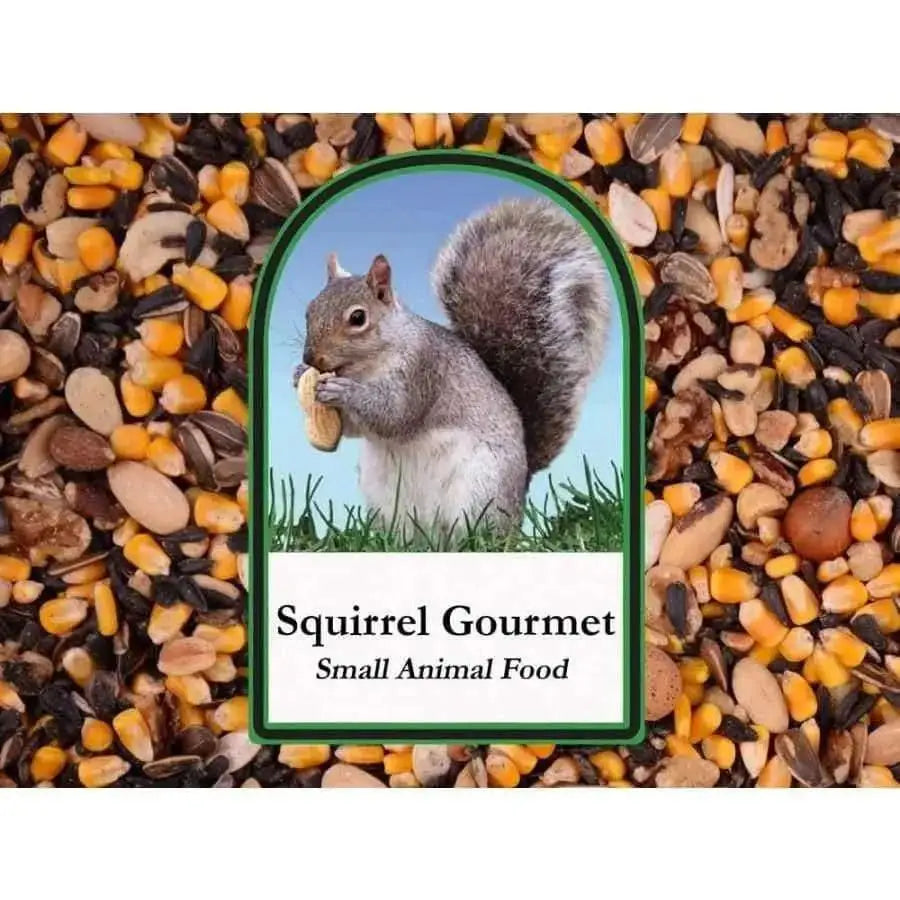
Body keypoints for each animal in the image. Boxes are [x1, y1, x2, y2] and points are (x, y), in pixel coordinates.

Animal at [298, 196, 611, 534]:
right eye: (309, 309)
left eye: (358, 318)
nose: (309, 358)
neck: (368, 366)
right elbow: (356, 428)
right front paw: (300, 376)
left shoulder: (422, 370)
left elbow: (394, 414)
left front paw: (343, 391)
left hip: (479, 490)